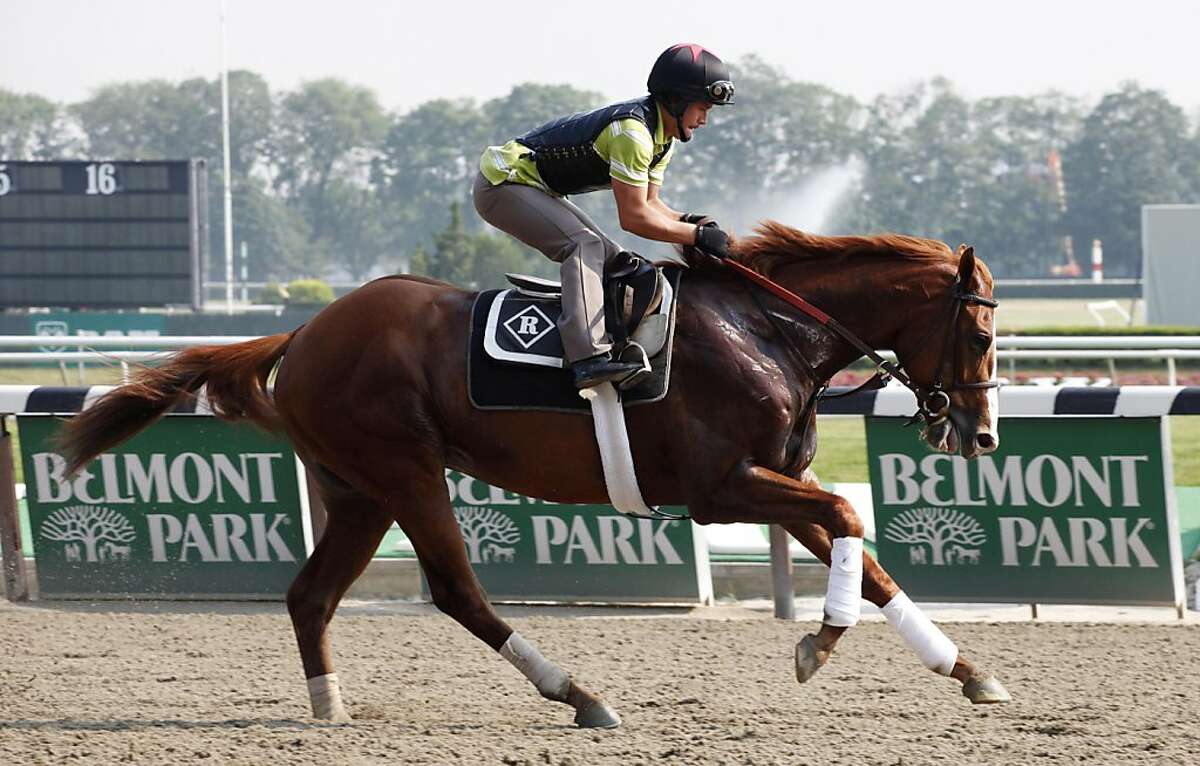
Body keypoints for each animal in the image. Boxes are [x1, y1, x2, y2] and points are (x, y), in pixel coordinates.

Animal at [58, 221, 1009, 728]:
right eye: (982, 333)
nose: (980, 434)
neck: (768, 331)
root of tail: (304, 331)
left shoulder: (772, 482)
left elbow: (869, 561)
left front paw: (966, 670)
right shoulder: (721, 486)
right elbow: (851, 520)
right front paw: (820, 641)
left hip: (356, 491)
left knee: (311, 595)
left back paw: (329, 704)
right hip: (406, 472)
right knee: (457, 593)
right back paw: (579, 694)